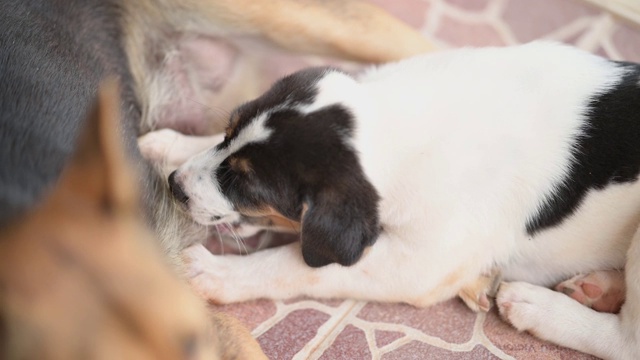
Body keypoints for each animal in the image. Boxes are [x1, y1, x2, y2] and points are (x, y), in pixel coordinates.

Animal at [144, 41, 640, 358]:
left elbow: (297, 266)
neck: (402, 122)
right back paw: (599, 288)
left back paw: (539, 308)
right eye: (227, 131)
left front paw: (214, 272)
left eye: (247, 186)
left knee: (626, 342)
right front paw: (171, 144)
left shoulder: (415, 264)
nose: (175, 185)